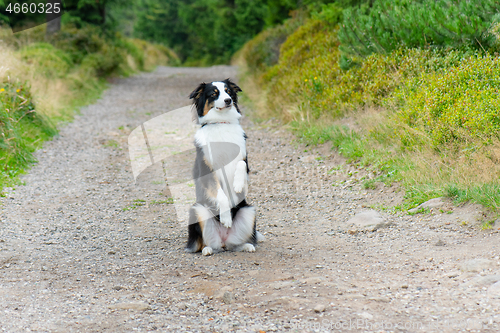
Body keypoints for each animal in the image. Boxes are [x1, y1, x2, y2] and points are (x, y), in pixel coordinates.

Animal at [184, 79, 262, 255]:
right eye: (214, 94)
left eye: (228, 91)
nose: (228, 100)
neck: (222, 122)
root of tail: (223, 240)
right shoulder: (207, 169)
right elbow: (220, 194)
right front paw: (226, 218)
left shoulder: (244, 160)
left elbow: (241, 164)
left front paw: (238, 185)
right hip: (197, 209)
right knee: (202, 243)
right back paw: (207, 249)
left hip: (249, 211)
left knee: (236, 244)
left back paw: (247, 246)